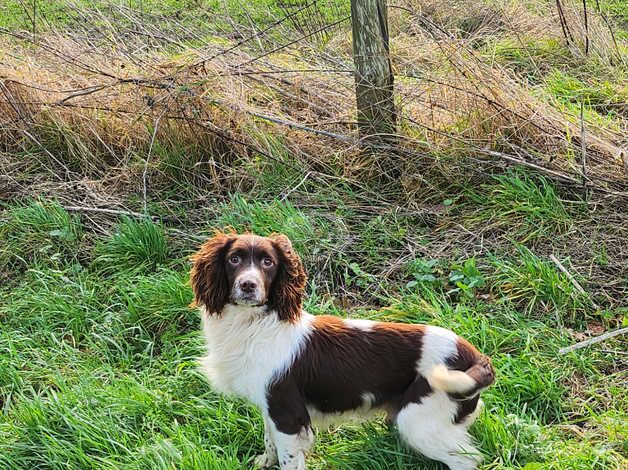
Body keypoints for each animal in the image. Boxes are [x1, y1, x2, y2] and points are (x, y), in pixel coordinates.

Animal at [189, 233, 494, 468]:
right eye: (234, 259)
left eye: (268, 262)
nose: (248, 285)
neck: (255, 324)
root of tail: (474, 355)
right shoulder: (270, 407)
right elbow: (268, 440)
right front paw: (264, 462)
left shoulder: (288, 414)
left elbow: (288, 457)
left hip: (418, 419)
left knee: (467, 460)